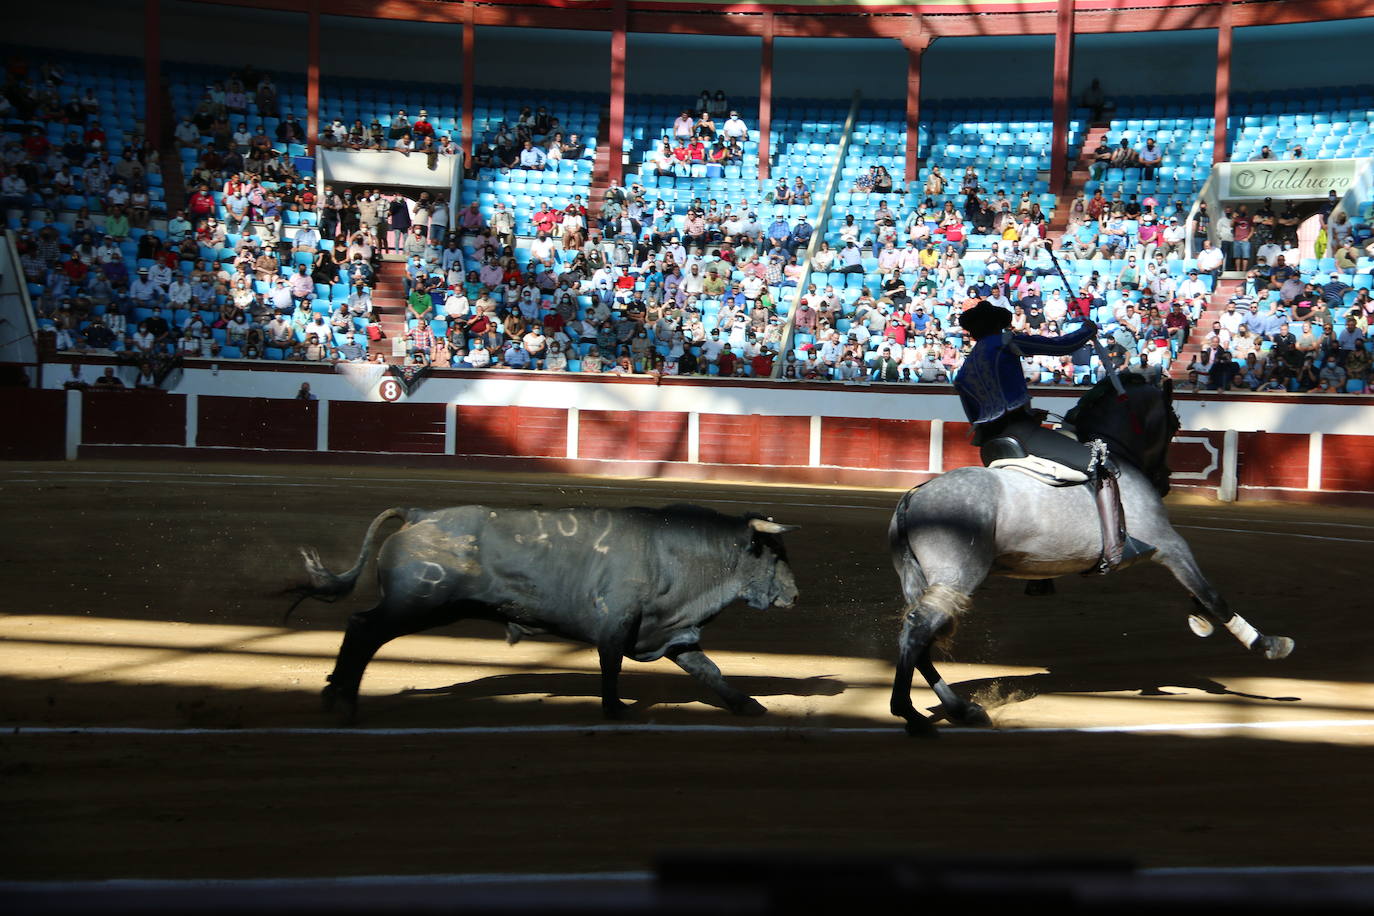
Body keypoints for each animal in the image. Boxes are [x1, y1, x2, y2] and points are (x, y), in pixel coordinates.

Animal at [294, 505, 802, 719]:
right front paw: (614, 710)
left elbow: (710, 671)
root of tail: (420, 516)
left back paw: (335, 694)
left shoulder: (672, 633)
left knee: (361, 629)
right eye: (775, 554)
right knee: (363, 629)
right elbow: (610, 667)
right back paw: (342, 700)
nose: (796, 595)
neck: (673, 553)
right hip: (417, 603)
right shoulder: (616, 624)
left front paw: (747, 704)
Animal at [884, 373, 1291, 736]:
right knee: (918, 630)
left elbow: (1200, 593)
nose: (1165, 478)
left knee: (919, 638)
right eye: (1174, 423)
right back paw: (912, 715)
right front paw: (1269, 643)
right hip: (956, 578)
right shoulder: (1169, 544)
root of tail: (913, 496)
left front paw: (1202, 620)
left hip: (929, 581)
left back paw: (961, 710)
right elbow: (1212, 593)